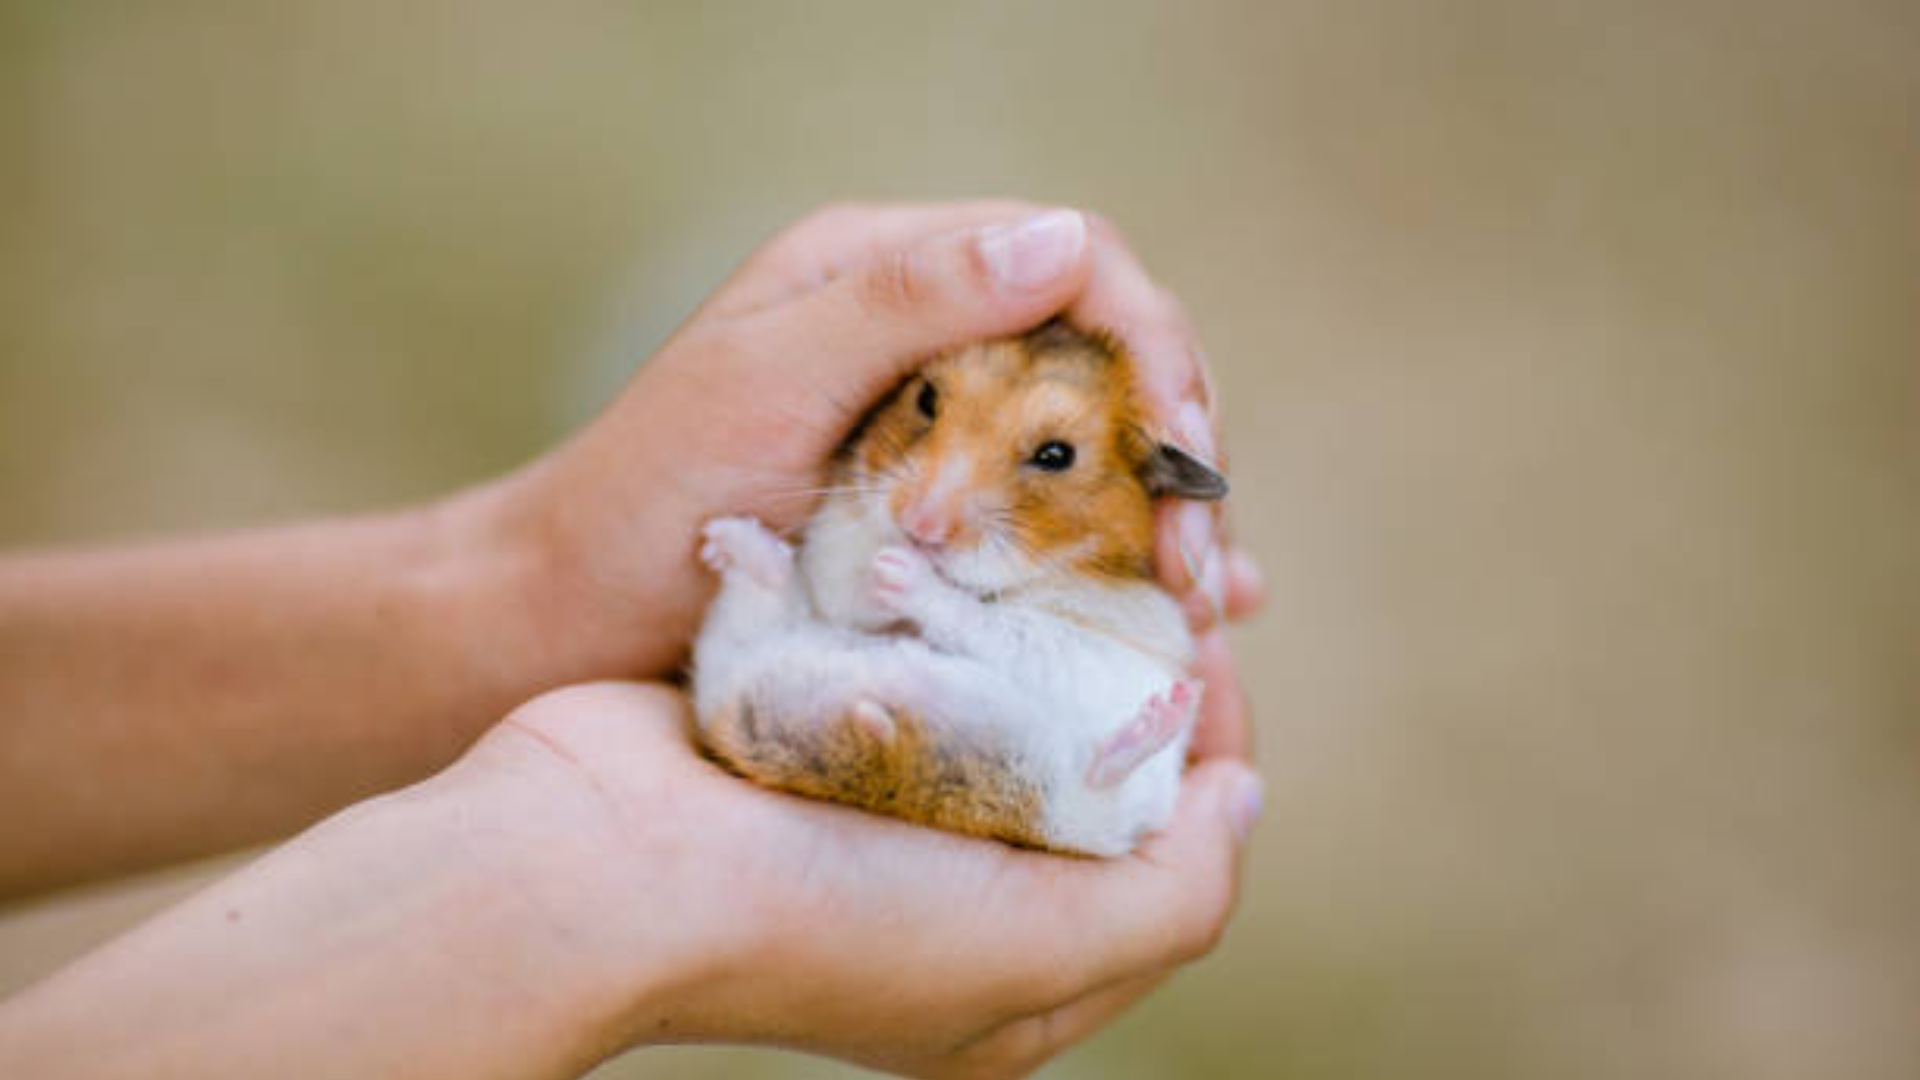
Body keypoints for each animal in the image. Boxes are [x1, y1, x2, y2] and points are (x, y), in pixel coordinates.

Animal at [690, 319, 1228, 856]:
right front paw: (882, 566)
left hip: (1103, 807)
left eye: (1057, 455)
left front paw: (898, 571)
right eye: (925, 398)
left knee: (1103, 784)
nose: (917, 526)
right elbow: (847, 585)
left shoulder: (1090, 641)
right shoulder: (834, 548)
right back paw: (731, 542)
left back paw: (1163, 715)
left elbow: (989, 621)